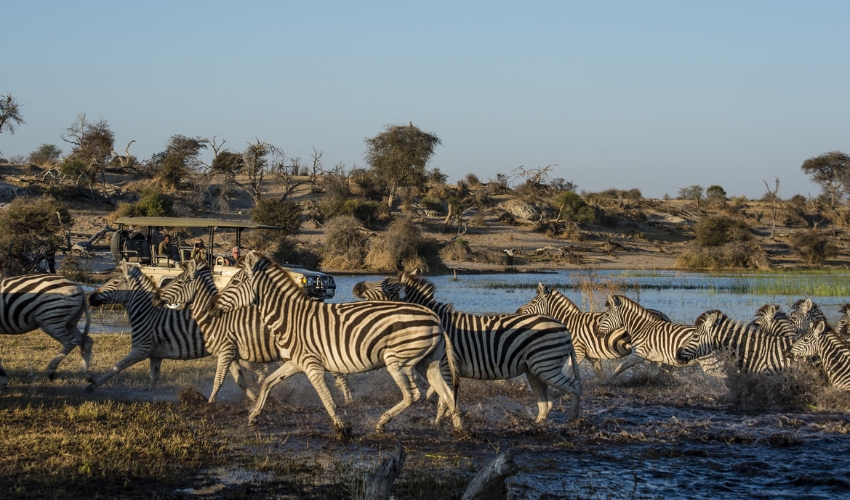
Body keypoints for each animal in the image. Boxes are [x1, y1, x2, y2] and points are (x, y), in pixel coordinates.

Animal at [87, 262, 266, 399]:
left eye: (115, 283)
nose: (90, 297)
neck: (148, 314)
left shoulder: (140, 349)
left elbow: (116, 368)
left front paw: (92, 385)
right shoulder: (155, 355)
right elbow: (153, 378)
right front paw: (148, 396)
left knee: (261, 370)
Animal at [152, 259, 352, 404]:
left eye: (180, 281)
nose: (155, 297)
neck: (215, 320)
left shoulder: (226, 351)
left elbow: (219, 379)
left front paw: (209, 403)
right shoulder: (231, 354)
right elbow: (240, 380)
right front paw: (254, 398)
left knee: (339, 372)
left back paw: (348, 400)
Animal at [210, 251, 464, 434]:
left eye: (235, 282)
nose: (212, 307)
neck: (290, 317)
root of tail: (435, 318)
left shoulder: (312, 365)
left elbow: (327, 398)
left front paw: (342, 428)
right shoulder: (294, 363)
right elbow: (267, 383)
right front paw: (253, 416)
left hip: (398, 361)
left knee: (413, 395)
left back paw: (381, 423)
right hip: (426, 362)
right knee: (448, 394)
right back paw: (459, 431)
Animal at [352, 273, 583, 423]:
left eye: (385, 284)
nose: (356, 286)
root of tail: (564, 327)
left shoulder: (446, 365)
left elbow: (443, 398)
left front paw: (440, 422)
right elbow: (440, 395)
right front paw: (443, 419)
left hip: (545, 366)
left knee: (574, 388)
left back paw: (572, 422)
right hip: (534, 370)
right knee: (547, 403)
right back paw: (538, 425)